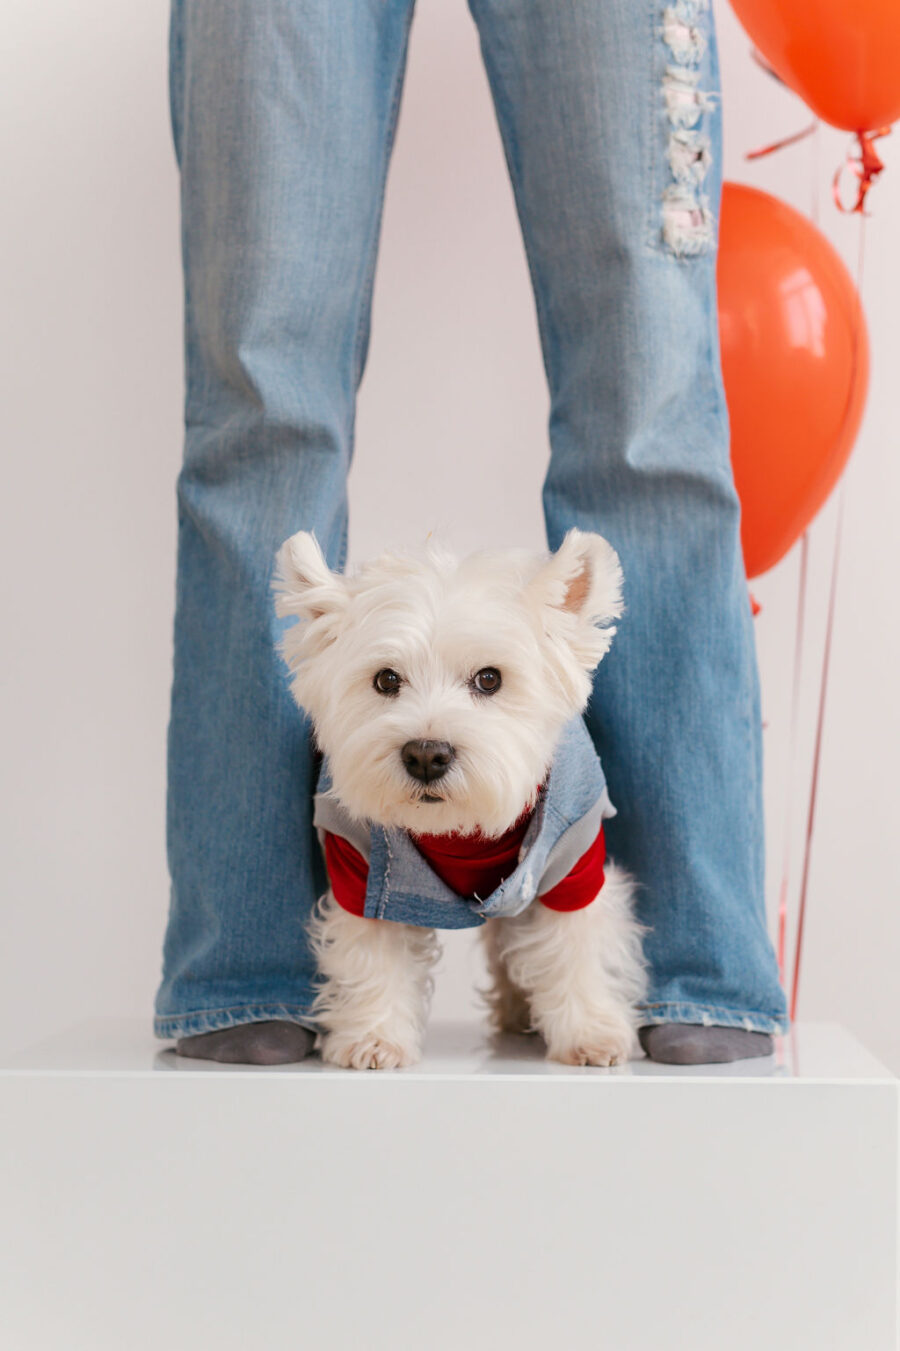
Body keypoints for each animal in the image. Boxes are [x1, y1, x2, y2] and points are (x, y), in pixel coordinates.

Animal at [270, 526, 640, 1064]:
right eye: (386, 679)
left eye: (490, 678)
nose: (426, 755)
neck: (458, 832)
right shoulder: (361, 868)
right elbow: (373, 951)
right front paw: (374, 1037)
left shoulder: (574, 858)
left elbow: (575, 944)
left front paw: (590, 1033)